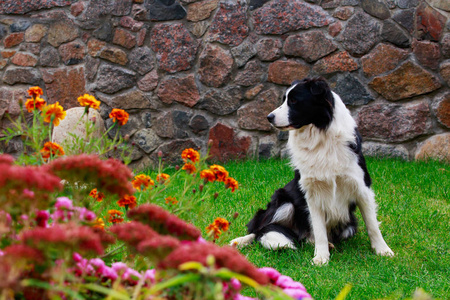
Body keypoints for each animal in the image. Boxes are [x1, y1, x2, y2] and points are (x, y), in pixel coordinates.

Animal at [232, 77, 394, 264]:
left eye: (294, 101)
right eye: (284, 100)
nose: (269, 117)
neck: (319, 135)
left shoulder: (362, 187)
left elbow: (372, 225)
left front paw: (383, 250)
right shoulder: (312, 193)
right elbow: (319, 230)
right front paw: (321, 258)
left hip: (349, 224)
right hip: (283, 200)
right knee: (259, 229)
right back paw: (239, 241)